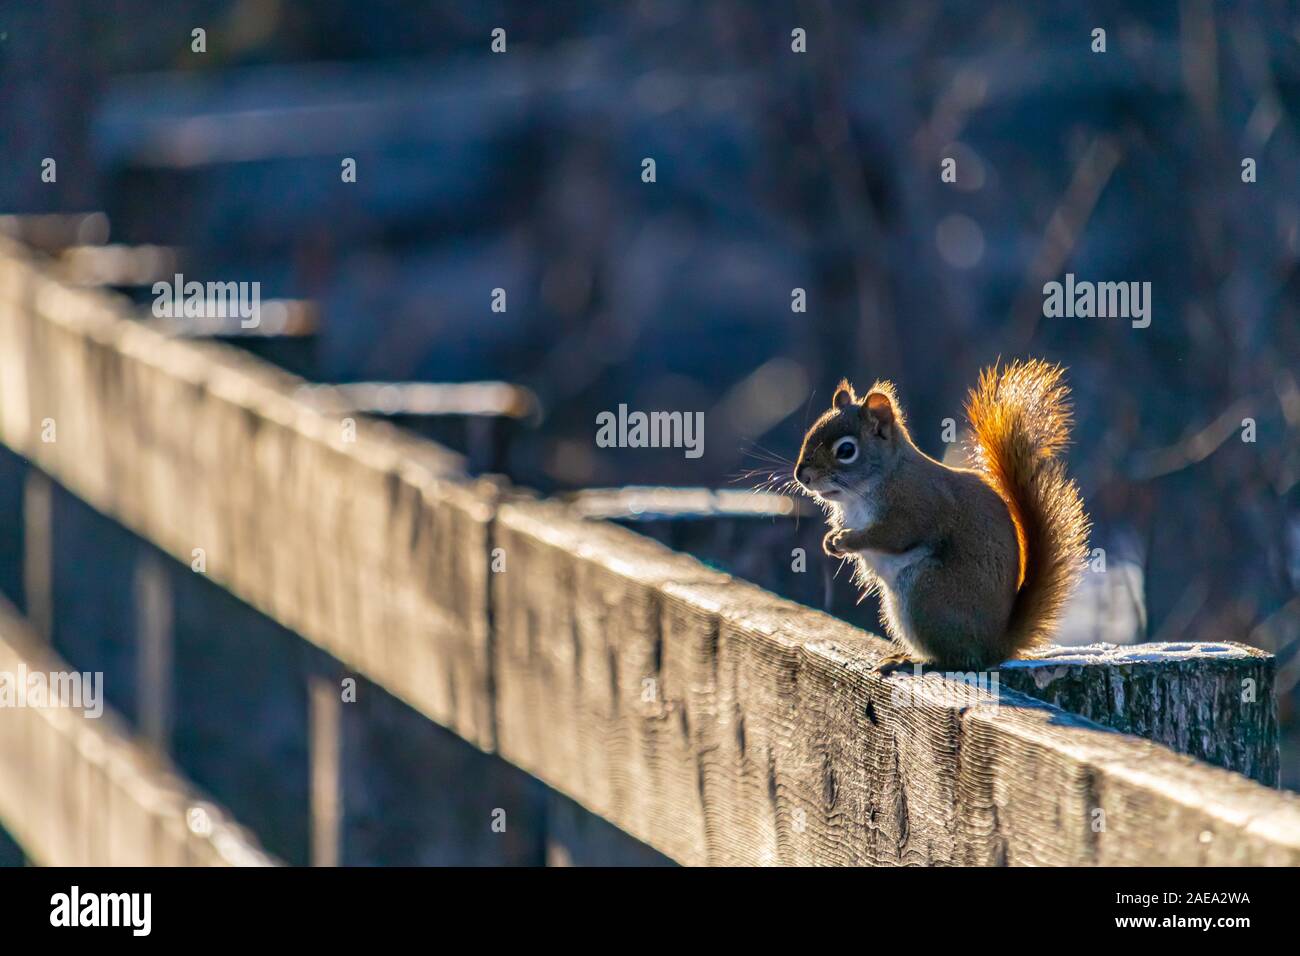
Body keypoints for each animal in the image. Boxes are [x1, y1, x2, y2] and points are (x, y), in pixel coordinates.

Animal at [793, 359, 1089, 674]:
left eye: (846, 450)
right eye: (810, 434)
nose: (802, 475)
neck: (861, 493)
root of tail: (995, 645)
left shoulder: (916, 506)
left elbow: (893, 536)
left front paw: (847, 540)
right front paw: (830, 541)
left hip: (927, 593)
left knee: (958, 660)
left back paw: (914, 661)